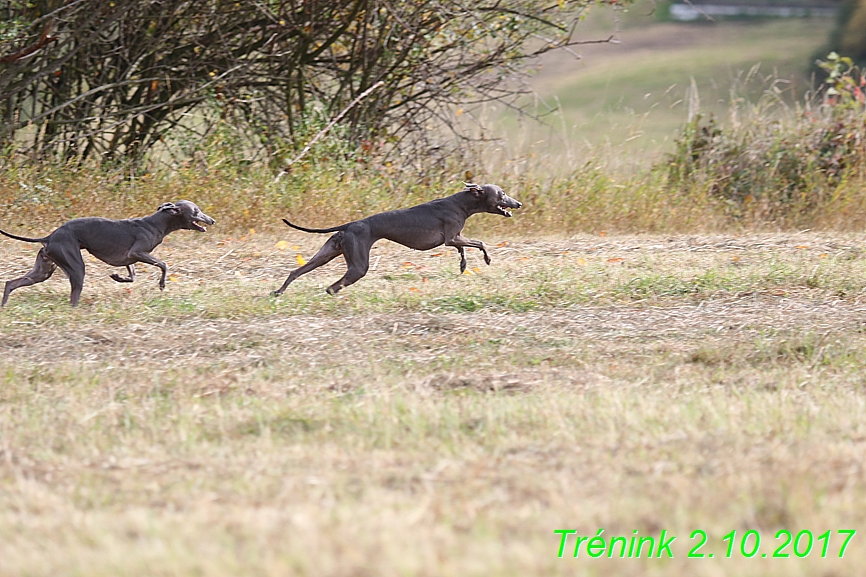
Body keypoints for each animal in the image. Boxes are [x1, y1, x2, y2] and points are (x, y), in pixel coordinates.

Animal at [0, 199, 213, 306]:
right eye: (196, 211)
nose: (212, 220)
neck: (156, 223)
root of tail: (50, 236)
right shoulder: (137, 252)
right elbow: (163, 264)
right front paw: (161, 284)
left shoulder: (128, 258)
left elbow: (132, 275)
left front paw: (118, 277)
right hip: (76, 268)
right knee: (73, 297)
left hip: (43, 270)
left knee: (11, 282)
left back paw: (4, 305)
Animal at [272, 182, 520, 294]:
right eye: (502, 194)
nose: (518, 203)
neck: (460, 203)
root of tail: (349, 225)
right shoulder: (452, 237)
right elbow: (479, 243)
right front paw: (487, 259)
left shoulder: (455, 238)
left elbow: (464, 249)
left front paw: (463, 265)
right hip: (358, 265)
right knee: (333, 287)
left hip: (327, 253)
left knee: (295, 271)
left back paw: (279, 291)